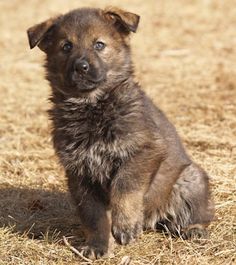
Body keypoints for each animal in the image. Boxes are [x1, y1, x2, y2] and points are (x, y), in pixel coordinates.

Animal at [27, 6, 214, 258]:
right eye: (66, 46)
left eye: (99, 45)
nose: (81, 67)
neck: (92, 106)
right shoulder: (79, 173)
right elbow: (93, 215)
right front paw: (98, 245)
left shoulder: (145, 150)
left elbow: (124, 185)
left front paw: (125, 225)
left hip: (190, 178)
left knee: (199, 214)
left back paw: (193, 229)